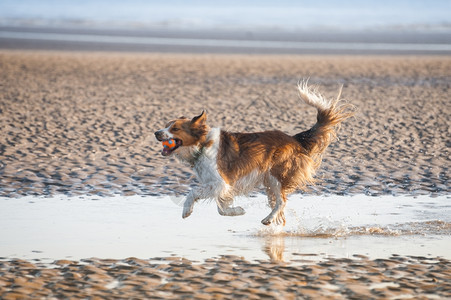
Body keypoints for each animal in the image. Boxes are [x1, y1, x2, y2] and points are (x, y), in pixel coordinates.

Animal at [157, 82, 354, 225]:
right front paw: (236, 211)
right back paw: (276, 222)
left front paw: (186, 210)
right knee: (279, 205)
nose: (156, 133)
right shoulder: (220, 185)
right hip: (269, 182)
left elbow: (194, 192)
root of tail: (295, 139)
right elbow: (221, 208)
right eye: (166, 125)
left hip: (276, 176)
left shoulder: (220, 182)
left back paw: (268, 219)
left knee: (282, 201)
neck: (203, 145)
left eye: (174, 128)